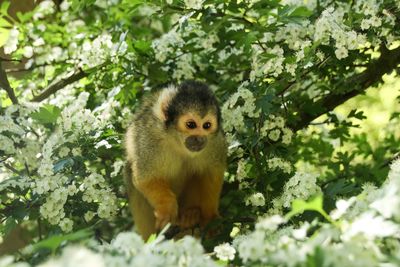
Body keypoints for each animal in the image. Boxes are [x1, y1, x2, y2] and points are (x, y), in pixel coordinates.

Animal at [123, 80, 227, 241]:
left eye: (206, 125)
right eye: (191, 125)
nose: (199, 139)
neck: (177, 142)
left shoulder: (215, 142)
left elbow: (212, 172)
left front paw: (209, 216)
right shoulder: (147, 138)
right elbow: (145, 178)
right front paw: (167, 208)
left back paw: (191, 214)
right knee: (129, 170)